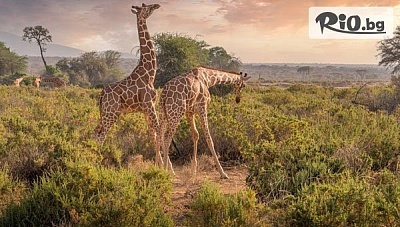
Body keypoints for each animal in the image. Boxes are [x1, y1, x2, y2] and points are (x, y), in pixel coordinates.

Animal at [94, 3, 166, 167]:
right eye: (146, 7)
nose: (157, 5)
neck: (149, 73)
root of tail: (102, 95)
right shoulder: (149, 106)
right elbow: (159, 131)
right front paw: (166, 166)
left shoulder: (146, 109)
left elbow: (152, 135)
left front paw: (158, 165)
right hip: (111, 114)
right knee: (101, 136)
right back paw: (95, 163)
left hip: (104, 114)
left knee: (95, 132)